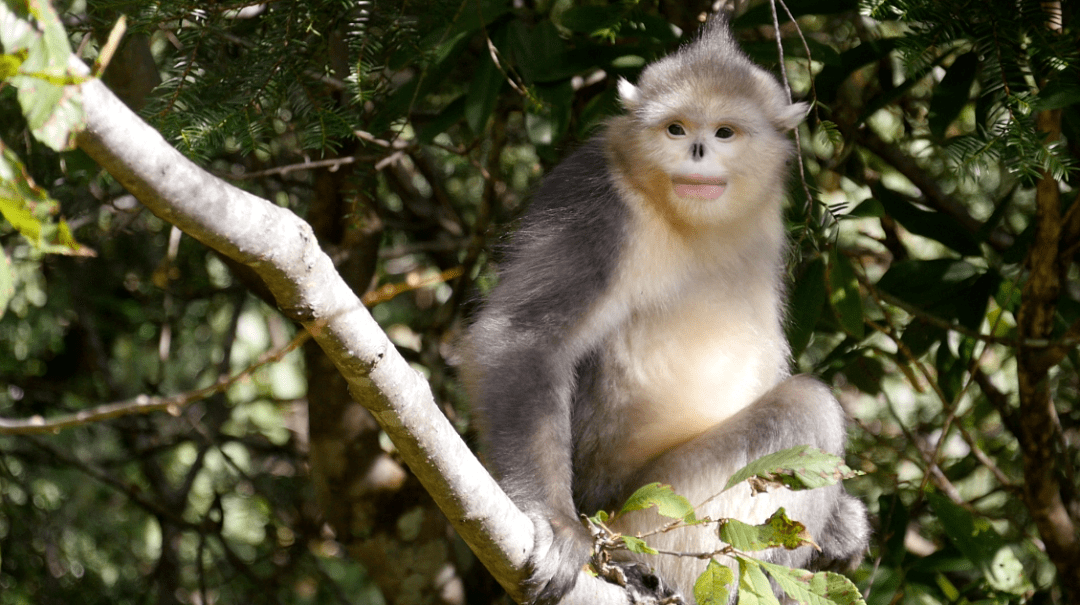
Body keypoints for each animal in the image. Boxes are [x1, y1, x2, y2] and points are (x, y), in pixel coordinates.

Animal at [462, 16, 868, 600]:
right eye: (676, 129)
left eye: (723, 132)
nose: (696, 149)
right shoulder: (596, 200)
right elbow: (524, 336)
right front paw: (554, 523)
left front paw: (842, 525)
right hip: (652, 511)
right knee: (809, 408)